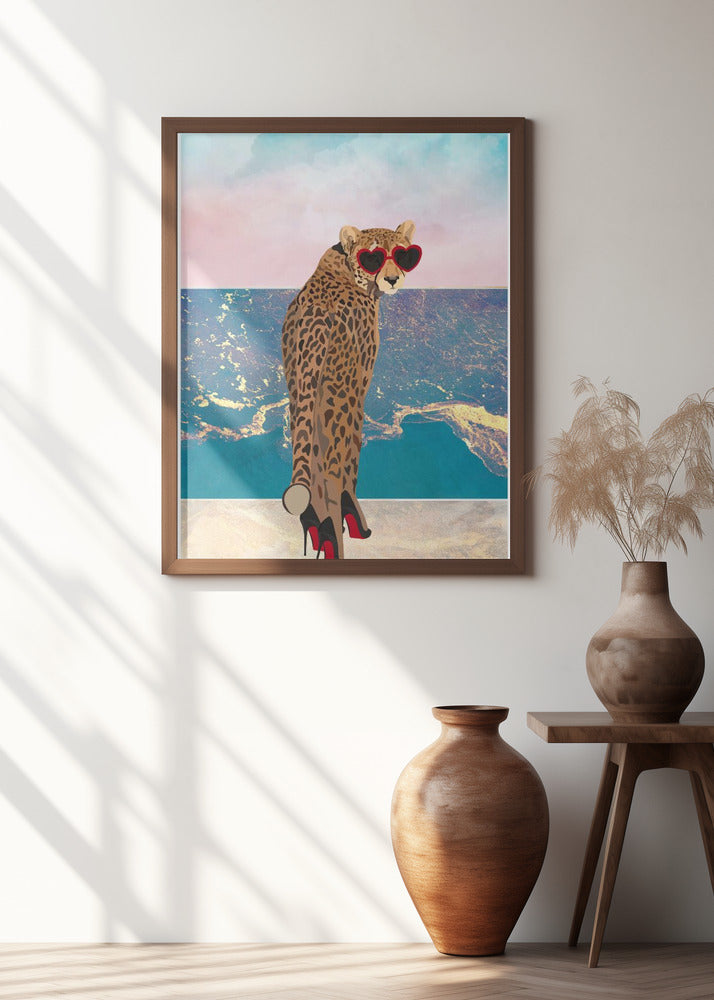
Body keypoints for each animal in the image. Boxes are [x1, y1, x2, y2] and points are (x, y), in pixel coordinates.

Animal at [281, 220, 421, 559]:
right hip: (338, 395)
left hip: (300, 389)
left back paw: (318, 525)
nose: (393, 278)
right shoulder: (358, 383)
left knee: (312, 454)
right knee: (333, 462)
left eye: (403, 254)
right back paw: (335, 533)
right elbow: (352, 454)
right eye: (372, 257)